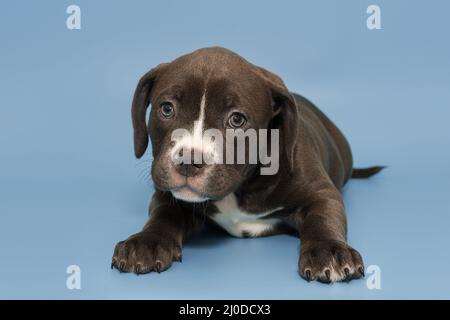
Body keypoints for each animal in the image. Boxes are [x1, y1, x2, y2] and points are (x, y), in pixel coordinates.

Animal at [110, 47, 382, 282]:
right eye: (166, 109)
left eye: (237, 120)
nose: (188, 160)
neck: (239, 188)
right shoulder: (167, 195)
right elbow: (162, 215)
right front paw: (146, 242)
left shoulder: (322, 192)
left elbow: (323, 217)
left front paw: (330, 251)